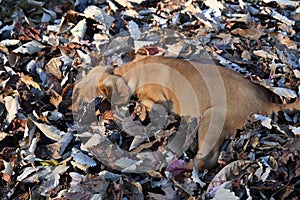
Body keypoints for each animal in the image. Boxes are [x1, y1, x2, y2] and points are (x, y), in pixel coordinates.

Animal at [73, 56, 300, 170]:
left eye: (79, 96)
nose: (70, 112)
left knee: (206, 160)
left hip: (213, 119)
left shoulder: (158, 99)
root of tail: (266, 105)